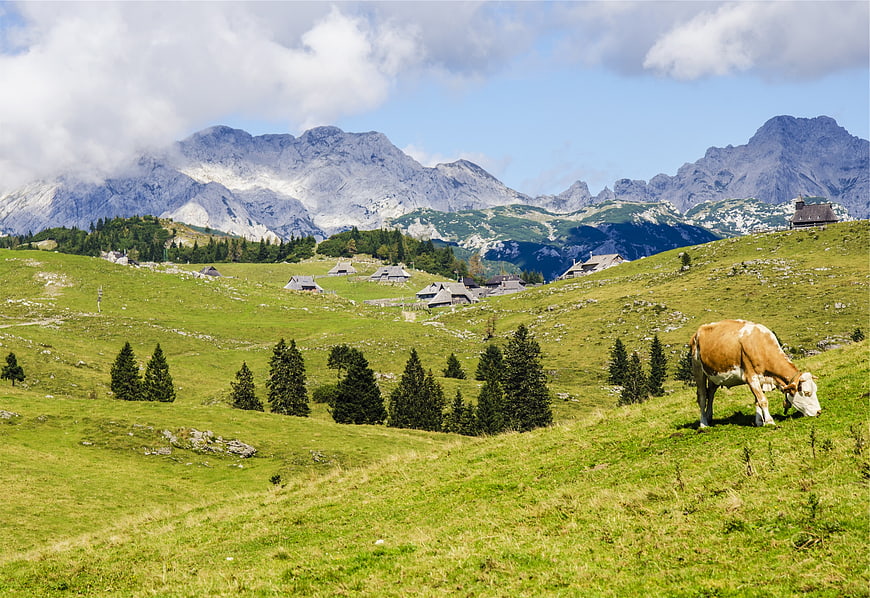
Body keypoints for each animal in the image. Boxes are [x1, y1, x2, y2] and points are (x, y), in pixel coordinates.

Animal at [690, 319, 821, 427]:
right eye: (806, 392)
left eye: (815, 390)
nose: (819, 412)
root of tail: (698, 331)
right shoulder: (751, 377)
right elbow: (762, 400)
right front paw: (769, 421)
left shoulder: (762, 379)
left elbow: (757, 401)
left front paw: (759, 422)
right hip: (698, 370)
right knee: (702, 396)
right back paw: (703, 423)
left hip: (713, 374)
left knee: (711, 393)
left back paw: (709, 417)